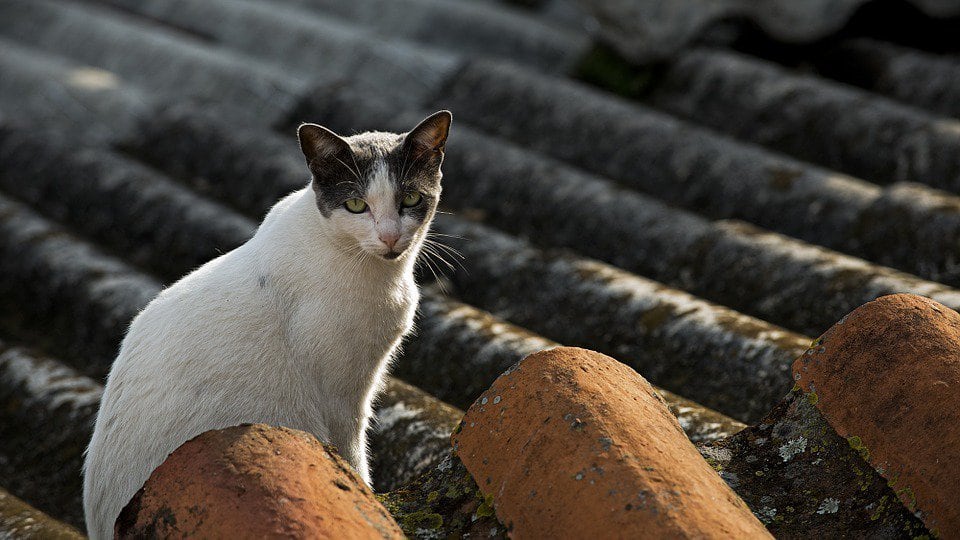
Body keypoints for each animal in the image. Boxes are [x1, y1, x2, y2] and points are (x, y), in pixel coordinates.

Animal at [81, 110, 450, 540]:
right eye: (357, 205)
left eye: (410, 199)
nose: (390, 236)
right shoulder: (342, 396)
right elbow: (353, 458)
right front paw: (370, 500)